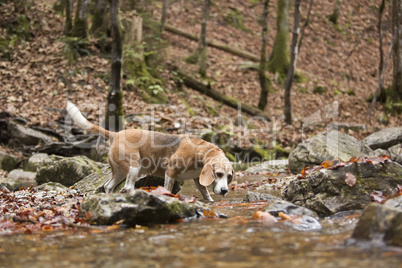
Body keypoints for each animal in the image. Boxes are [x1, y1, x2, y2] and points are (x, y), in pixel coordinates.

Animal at [67, 101, 234, 201]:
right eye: (219, 174)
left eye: (229, 176)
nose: (225, 190)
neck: (201, 152)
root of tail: (116, 134)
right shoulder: (170, 171)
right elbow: (168, 188)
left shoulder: (196, 178)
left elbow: (205, 193)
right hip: (134, 167)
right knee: (127, 187)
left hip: (120, 172)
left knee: (108, 186)